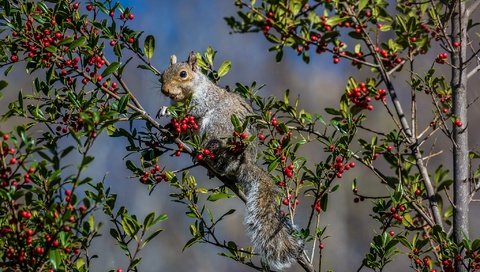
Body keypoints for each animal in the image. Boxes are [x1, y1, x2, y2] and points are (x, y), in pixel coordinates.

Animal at [161, 52, 304, 270]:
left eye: (183, 74)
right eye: (162, 75)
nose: (165, 90)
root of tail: (245, 163)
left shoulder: (205, 101)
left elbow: (193, 112)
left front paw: (167, 112)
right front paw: (169, 130)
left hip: (219, 128)